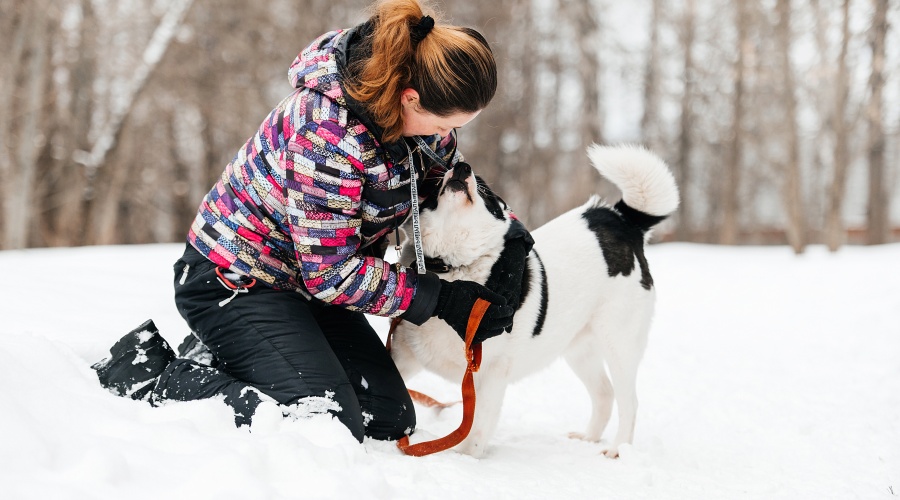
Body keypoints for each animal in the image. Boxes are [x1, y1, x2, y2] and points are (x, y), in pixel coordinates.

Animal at [390, 144, 679, 458]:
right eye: (435, 187)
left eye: (486, 192)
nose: (463, 167)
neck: (453, 269)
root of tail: (620, 220)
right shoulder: (404, 355)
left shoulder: (490, 373)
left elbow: (476, 431)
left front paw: (464, 459)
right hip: (580, 349)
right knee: (605, 393)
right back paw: (588, 438)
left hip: (618, 343)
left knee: (629, 401)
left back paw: (617, 449)